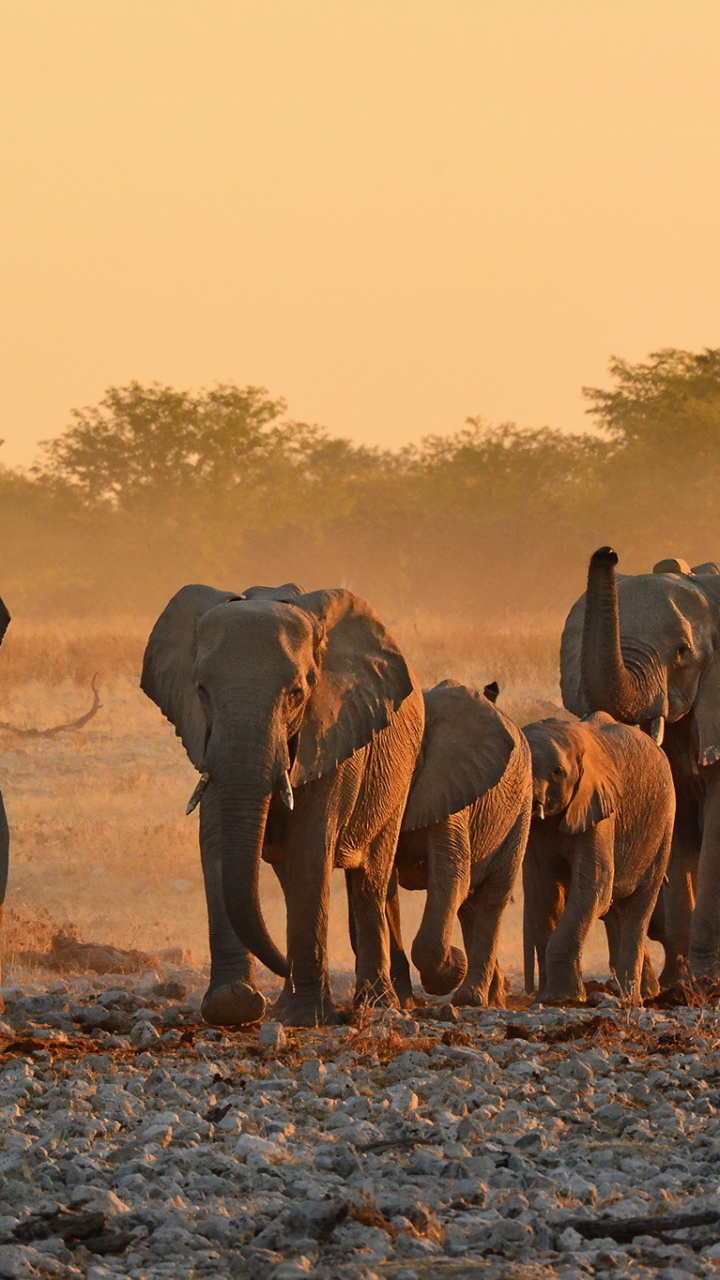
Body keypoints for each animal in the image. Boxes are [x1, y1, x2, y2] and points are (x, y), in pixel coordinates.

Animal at [141, 582, 424, 1027]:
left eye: (297, 694)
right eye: (201, 690)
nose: (282, 966)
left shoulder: (330, 731)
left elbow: (310, 846)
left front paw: (306, 1016)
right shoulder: (209, 740)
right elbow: (217, 843)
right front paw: (233, 1005)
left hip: (398, 776)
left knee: (369, 883)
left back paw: (377, 1005)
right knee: (293, 883)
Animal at [393, 680, 532, 1006]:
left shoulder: (450, 785)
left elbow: (451, 873)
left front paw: (452, 968)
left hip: (520, 807)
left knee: (491, 897)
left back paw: (472, 997)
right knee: (470, 903)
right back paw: (494, 995)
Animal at [523, 712, 675, 1003]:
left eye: (558, 772)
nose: (530, 993)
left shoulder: (599, 804)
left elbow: (594, 886)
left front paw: (565, 999)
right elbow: (544, 892)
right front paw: (549, 998)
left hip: (663, 824)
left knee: (638, 906)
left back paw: (631, 999)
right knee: (616, 908)